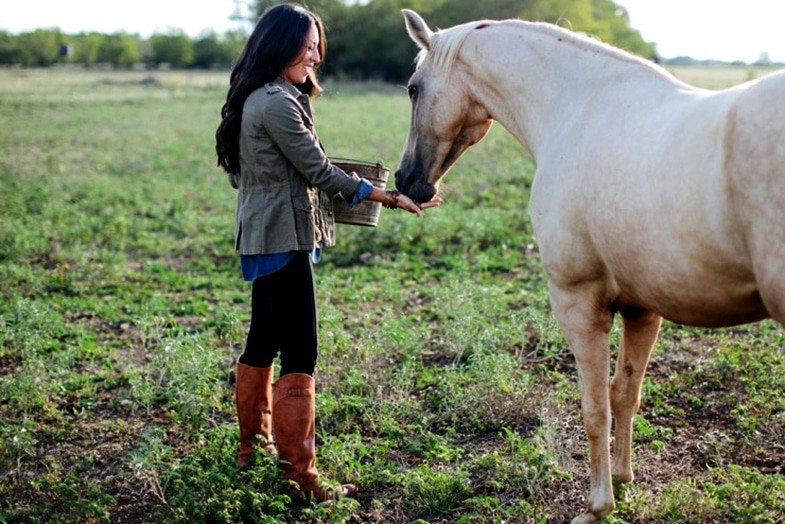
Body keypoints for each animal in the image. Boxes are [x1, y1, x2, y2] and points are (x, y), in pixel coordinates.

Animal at [395, 9, 785, 523]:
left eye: (413, 88)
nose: (406, 181)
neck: (577, 112)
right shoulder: (643, 309)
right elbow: (624, 393)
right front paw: (622, 478)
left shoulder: (578, 305)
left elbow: (594, 407)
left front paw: (598, 505)